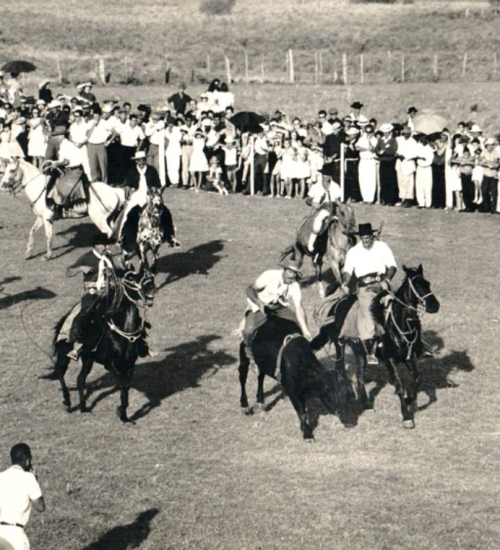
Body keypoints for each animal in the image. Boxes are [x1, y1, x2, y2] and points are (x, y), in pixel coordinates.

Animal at [52, 266, 154, 424]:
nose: (151, 286)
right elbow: (123, 384)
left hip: (87, 359)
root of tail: (64, 318)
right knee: (60, 373)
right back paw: (68, 403)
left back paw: (83, 408)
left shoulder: (130, 363)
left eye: (144, 274)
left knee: (80, 379)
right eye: (130, 278)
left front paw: (124, 416)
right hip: (64, 354)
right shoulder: (109, 364)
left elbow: (126, 386)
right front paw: (121, 412)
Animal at [312, 266, 442, 430]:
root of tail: (338, 303)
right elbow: (400, 385)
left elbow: (417, 379)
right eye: (418, 286)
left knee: (359, 375)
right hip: (339, 344)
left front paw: (408, 400)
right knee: (340, 369)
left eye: (428, 284)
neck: (398, 325)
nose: (435, 306)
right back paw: (349, 395)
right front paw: (406, 416)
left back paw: (366, 404)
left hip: (360, 351)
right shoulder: (389, 360)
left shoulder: (408, 358)